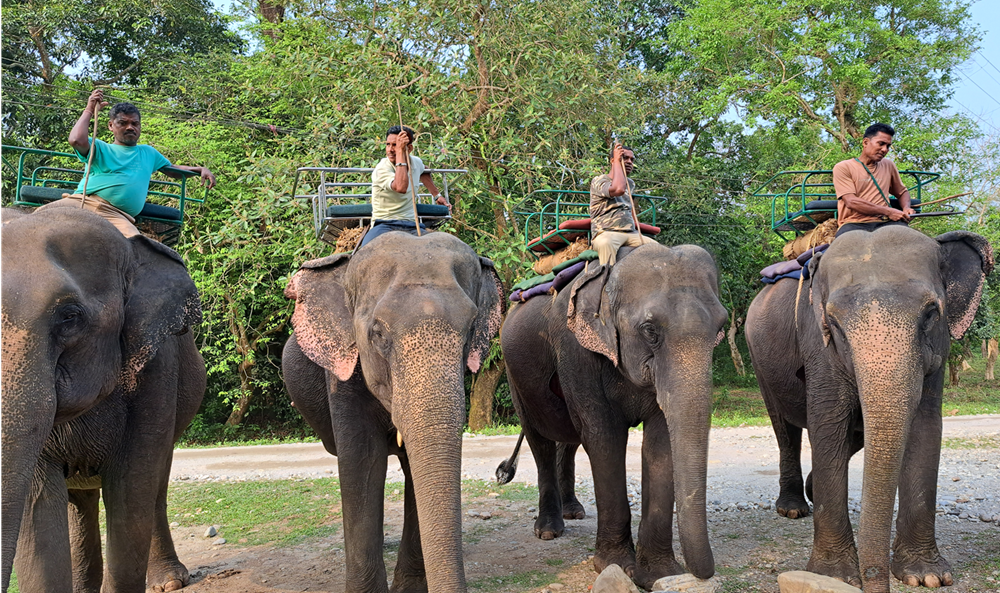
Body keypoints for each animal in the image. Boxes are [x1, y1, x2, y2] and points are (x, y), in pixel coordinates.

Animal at [1, 206, 206, 593]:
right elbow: (37, 507)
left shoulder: (156, 370)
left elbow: (131, 490)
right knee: (79, 501)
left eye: (70, 317)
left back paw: (170, 581)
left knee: (154, 490)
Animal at [499, 242, 728, 590]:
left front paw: (659, 574)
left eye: (720, 328)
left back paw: (574, 512)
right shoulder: (575, 350)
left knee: (569, 440)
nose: (703, 573)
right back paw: (549, 530)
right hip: (517, 378)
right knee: (541, 439)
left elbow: (661, 442)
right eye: (650, 330)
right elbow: (604, 437)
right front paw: (616, 566)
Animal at [745, 226, 994, 593]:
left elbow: (925, 427)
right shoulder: (818, 345)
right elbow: (828, 424)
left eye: (931, 313)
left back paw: (810, 490)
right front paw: (831, 577)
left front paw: (927, 577)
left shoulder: (938, 350)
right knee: (784, 427)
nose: (872, 580)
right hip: (759, 360)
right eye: (832, 323)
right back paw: (792, 509)